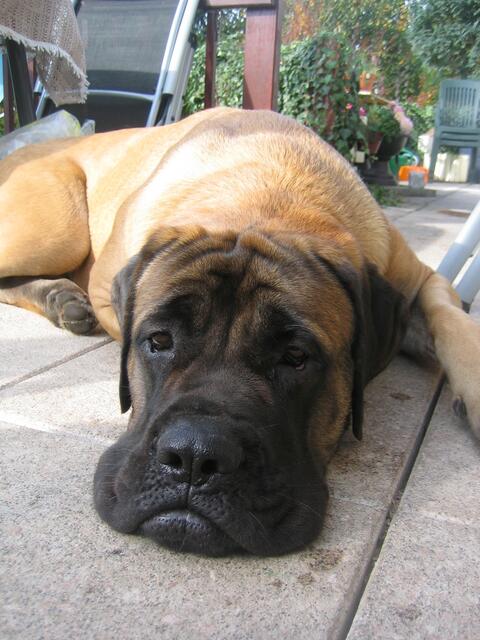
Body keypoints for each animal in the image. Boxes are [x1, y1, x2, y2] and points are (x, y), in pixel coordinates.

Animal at [1, 107, 479, 556]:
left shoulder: (422, 281)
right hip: (55, 231)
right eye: (159, 341)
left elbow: (453, 320)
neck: (269, 193)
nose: (194, 456)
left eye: (295, 356)